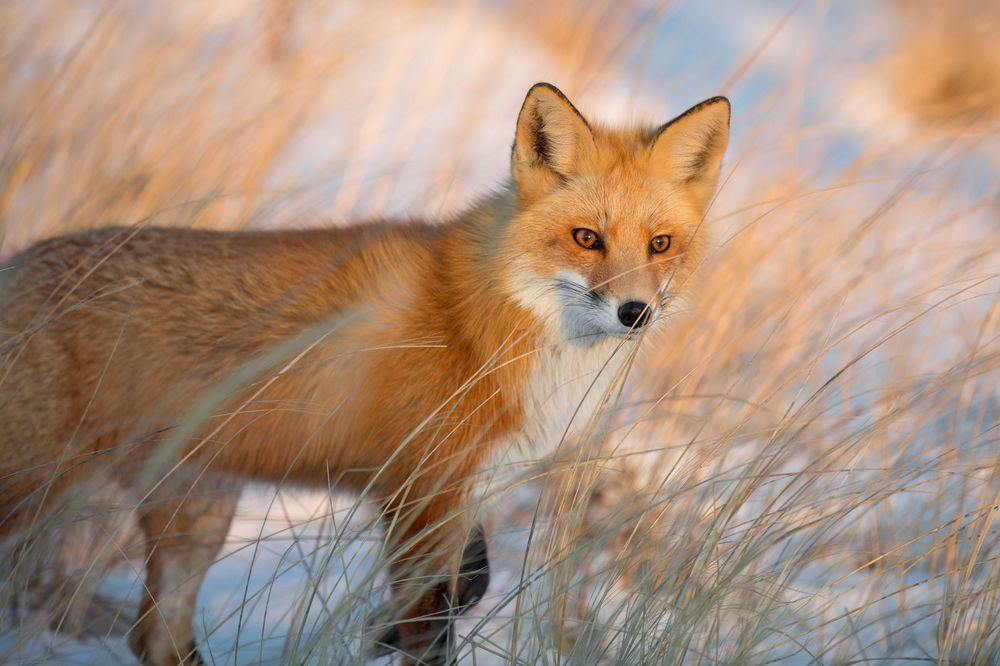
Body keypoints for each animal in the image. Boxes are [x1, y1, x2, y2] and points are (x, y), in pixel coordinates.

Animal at [0, 83, 730, 665]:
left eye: (660, 245)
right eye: (586, 239)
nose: (634, 312)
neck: (480, 323)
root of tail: (16, 265)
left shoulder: (459, 489)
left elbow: (471, 585)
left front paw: (376, 630)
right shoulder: (417, 491)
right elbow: (432, 625)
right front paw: (389, 634)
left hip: (198, 513)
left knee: (155, 637)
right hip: (41, 497)